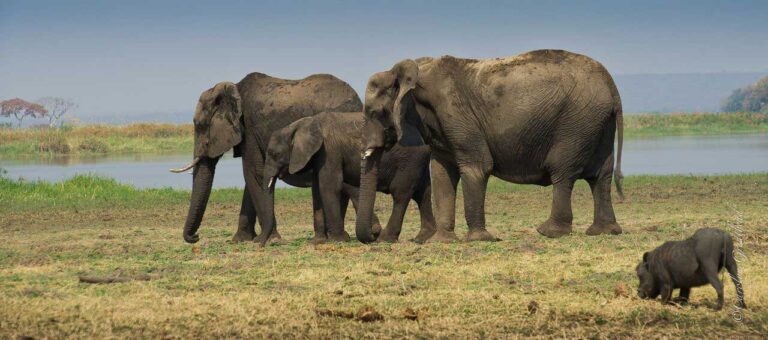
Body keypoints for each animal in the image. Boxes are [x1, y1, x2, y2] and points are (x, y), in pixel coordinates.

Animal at [172, 73, 364, 246]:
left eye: (201, 126)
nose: (195, 237)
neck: (235, 87)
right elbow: (254, 178)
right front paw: (241, 240)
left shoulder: (249, 127)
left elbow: (253, 173)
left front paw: (270, 240)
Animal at [264, 111, 436, 242]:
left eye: (274, 154)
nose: (264, 244)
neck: (302, 124)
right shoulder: (319, 155)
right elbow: (316, 190)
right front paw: (318, 242)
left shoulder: (330, 150)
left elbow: (329, 186)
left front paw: (339, 239)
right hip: (418, 161)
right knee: (423, 193)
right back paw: (422, 238)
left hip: (410, 160)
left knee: (401, 194)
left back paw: (385, 239)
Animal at [354, 49, 624, 243]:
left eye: (374, 112)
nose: (375, 236)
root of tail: (611, 84)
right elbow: (441, 173)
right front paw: (441, 241)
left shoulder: (456, 113)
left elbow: (477, 167)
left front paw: (477, 239)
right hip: (598, 122)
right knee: (601, 175)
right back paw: (604, 232)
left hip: (576, 123)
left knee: (563, 171)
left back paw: (549, 232)